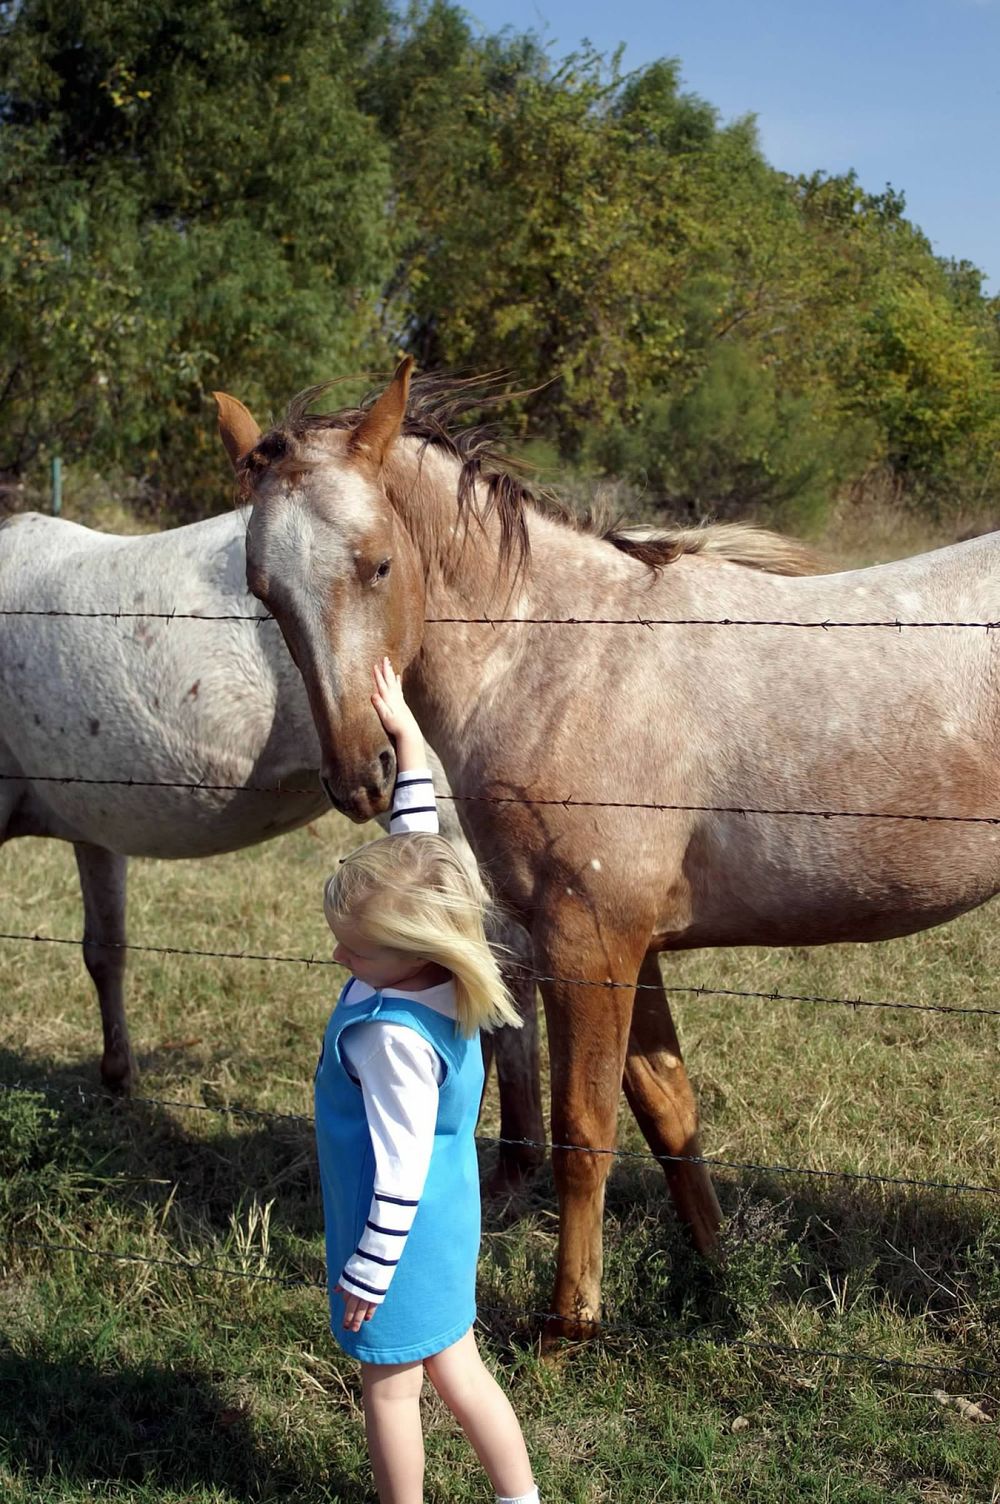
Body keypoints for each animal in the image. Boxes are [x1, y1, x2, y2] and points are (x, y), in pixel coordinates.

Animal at [219, 358, 1000, 1340]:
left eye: (378, 563)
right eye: (263, 589)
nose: (363, 774)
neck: (563, 657)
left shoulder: (588, 944)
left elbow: (583, 1134)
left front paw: (569, 1325)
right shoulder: (631, 945)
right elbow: (669, 1112)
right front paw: (714, 1278)